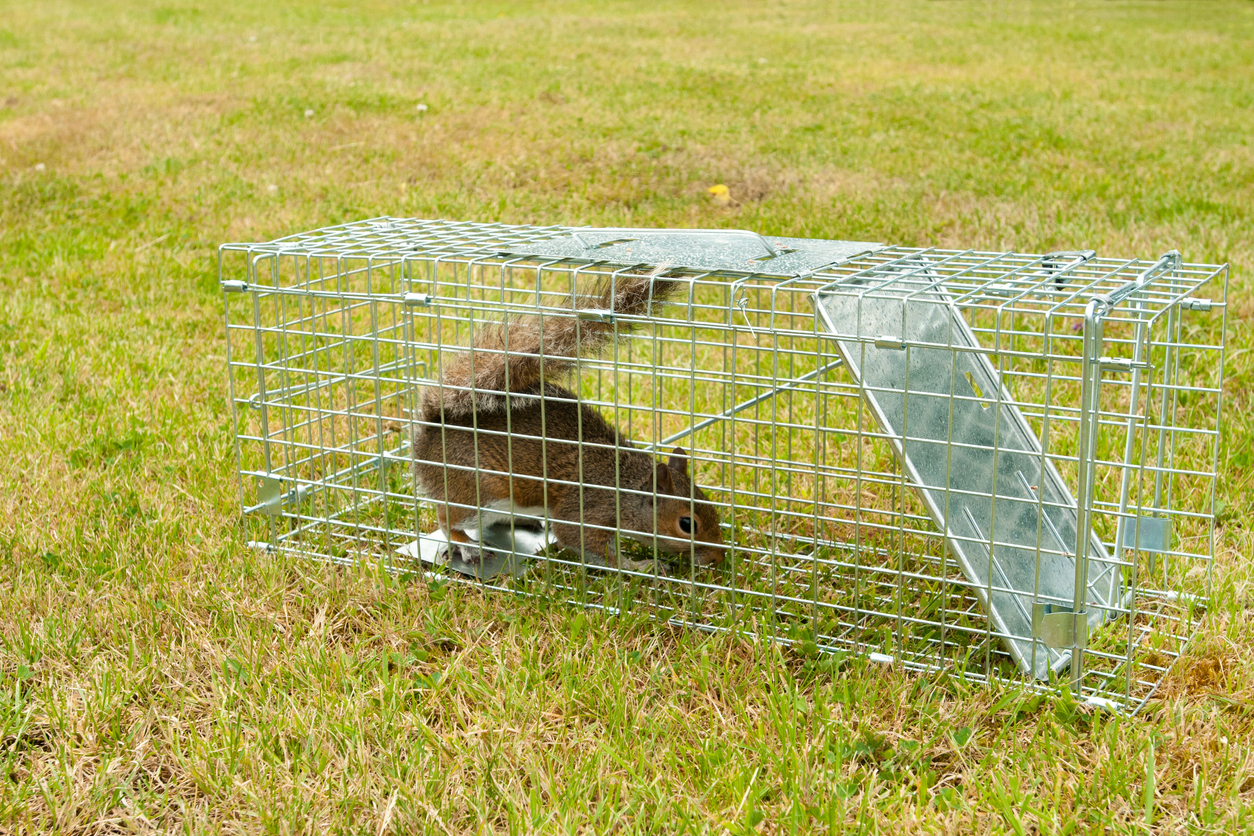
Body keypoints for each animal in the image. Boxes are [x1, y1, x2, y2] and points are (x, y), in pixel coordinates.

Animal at [411, 271, 727, 571]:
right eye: (687, 524)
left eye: (712, 507)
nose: (718, 558)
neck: (626, 485)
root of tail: (431, 431)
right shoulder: (587, 508)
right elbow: (580, 540)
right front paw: (640, 566)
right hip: (479, 490)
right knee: (449, 519)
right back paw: (466, 544)